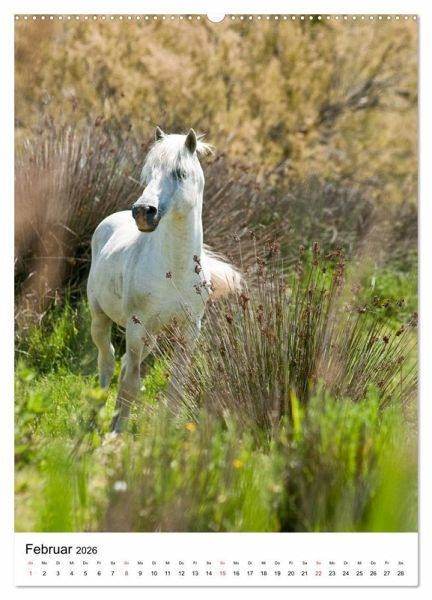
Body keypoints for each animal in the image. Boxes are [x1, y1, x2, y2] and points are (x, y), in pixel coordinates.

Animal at [87, 127, 242, 432]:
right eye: (149, 173)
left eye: (180, 173)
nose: (143, 212)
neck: (175, 272)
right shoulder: (136, 326)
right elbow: (131, 384)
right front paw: (117, 434)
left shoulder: (189, 330)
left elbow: (175, 386)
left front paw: (165, 431)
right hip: (103, 319)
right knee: (107, 360)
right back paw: (95, 417)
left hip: (151, 337)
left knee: (123, 363)